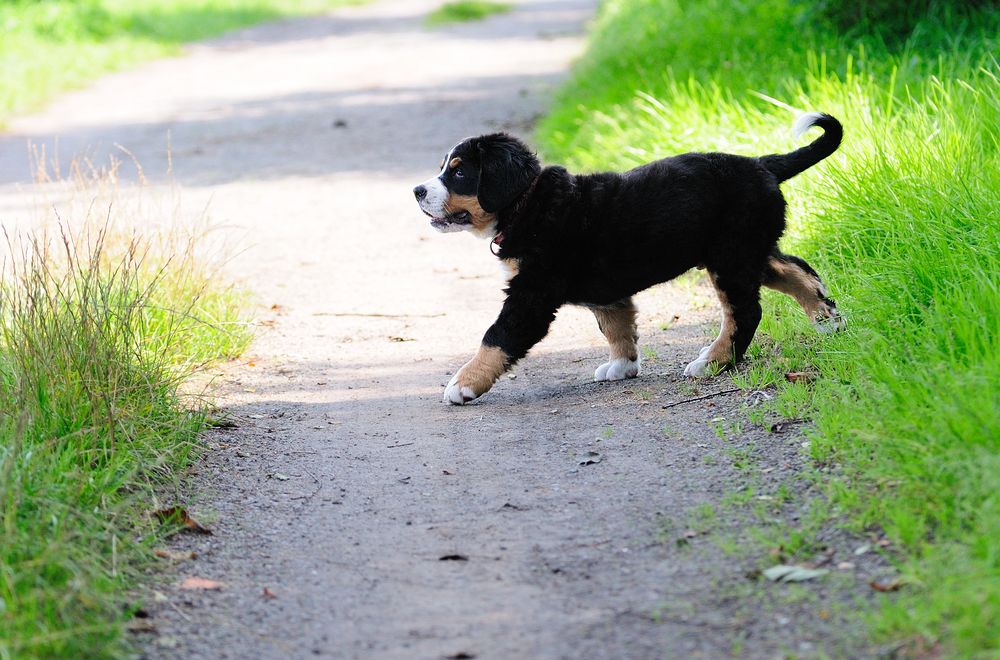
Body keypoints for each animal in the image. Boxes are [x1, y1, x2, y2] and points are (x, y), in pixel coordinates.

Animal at [414, 111, 844, 404]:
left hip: (731, 256)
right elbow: (615, 325)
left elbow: (497, 337)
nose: (417, 191)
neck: (527, 203)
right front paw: (623, 365)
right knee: (796, 271)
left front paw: (463, 384)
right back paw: (828, 322)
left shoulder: (532, 294)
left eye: (459, 173)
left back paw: (711, 362)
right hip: (748, 249)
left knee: (745, 312)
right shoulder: (605, 292)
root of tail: (760, 164)